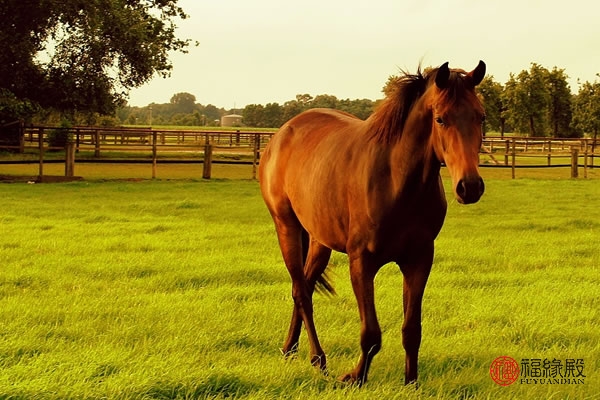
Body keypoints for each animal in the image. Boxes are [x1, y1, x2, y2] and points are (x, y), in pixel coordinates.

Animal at [258, 60, 488, 384]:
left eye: (480, 117)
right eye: (441, 119)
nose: (470, 187)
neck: (395, 180)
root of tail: (281, 135)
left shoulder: (419, 259)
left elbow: (411, 329)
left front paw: (411, 382)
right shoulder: (361, 262)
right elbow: (371, 333)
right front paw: (355, 378)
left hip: (319, 240)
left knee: (304, 285)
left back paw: (290, 348)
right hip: (286, 226)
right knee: (301, 291)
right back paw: (318, 359)